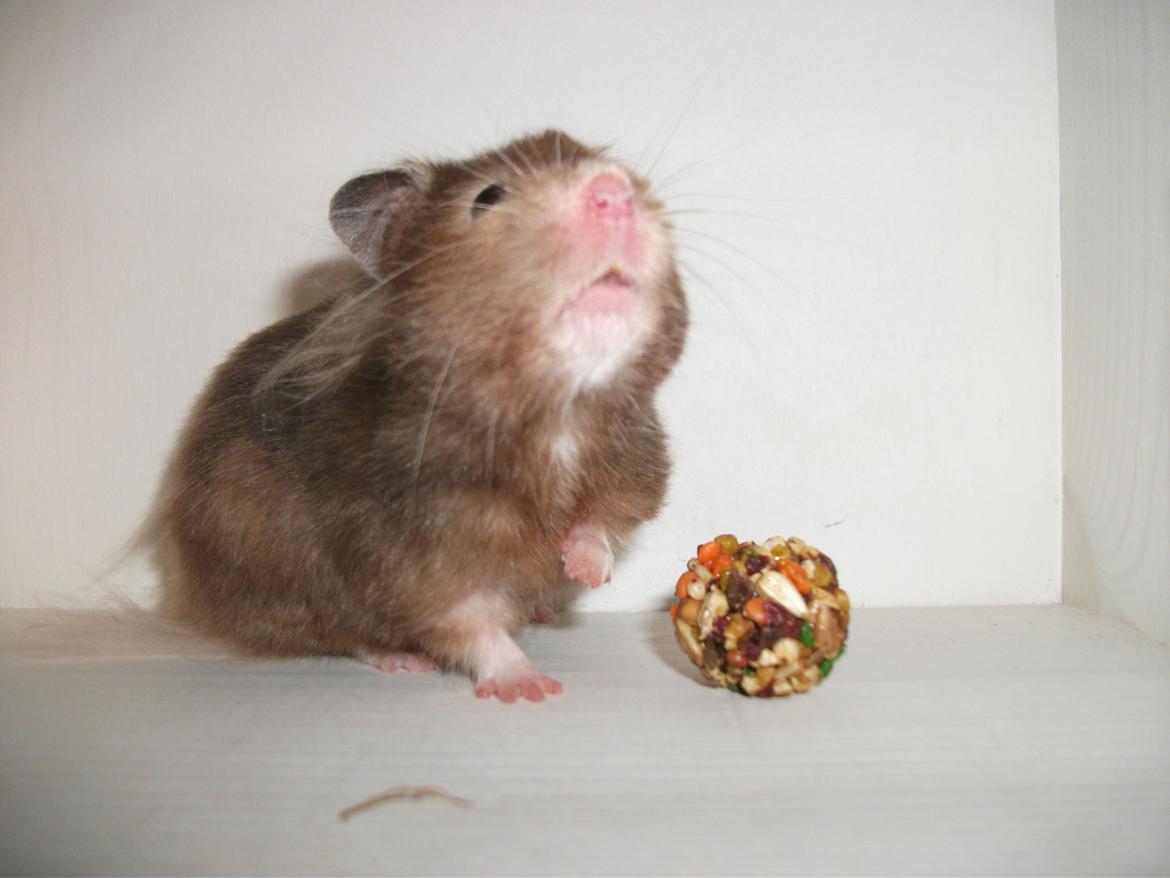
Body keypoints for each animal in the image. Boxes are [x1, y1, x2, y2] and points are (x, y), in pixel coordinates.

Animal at [159, 130, 687, 702]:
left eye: (617, 170)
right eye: (488, 197)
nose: (612, 190)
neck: (554, 414)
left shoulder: (634, 459)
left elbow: (606, 519)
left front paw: (581, 567)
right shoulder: (411, 556)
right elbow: (467, 621)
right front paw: (529, 687)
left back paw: (543, 608)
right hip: (290, 590)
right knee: (344, 635)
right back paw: (404, 659)